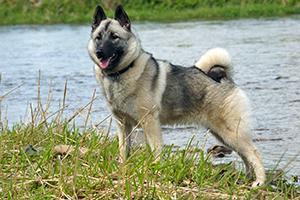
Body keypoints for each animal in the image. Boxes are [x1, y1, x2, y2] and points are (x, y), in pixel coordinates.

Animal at [86, 4, 264, 187]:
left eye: (114, 37)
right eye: (98, 38)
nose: (99, 52)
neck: (121, 73)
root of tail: (223, 77)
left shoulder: (150, 123)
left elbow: (156, 151)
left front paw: (156, 171)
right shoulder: (123, 125)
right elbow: (123, 151)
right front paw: (123, 170)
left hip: (230, 132)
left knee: (253, 153)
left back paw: (259, 182)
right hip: (222, 134)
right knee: (245, 155)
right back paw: (248, 178)